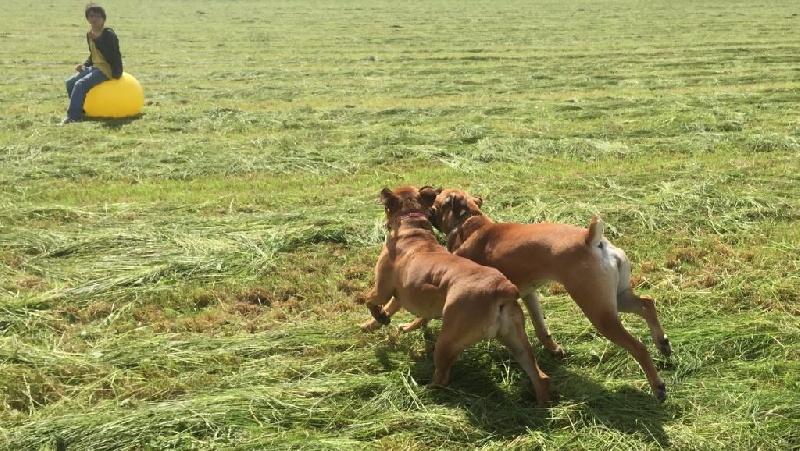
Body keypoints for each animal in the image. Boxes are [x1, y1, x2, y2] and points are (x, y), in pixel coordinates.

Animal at [360, 185, 552, 408]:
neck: (412, 226)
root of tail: (501, 289)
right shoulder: (399, 295)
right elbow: (395, 309)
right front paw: (375, 324)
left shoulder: (381, 289)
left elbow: (370, 301)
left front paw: (379, 318)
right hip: (516, 340)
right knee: (540, 376)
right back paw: (541, 404)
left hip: (446, 342)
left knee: (442, 377)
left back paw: (424, 391)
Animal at [424, 187, 676, 402]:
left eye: (435, 204)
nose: (428, 211)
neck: (471, 223)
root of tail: (592, 240)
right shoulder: (529, 294)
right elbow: (540, 325)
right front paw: (552, 348)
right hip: (616, 298)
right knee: (646, 304)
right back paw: (662, 342)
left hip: (598, 312)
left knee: (639, 347)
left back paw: (658, 386)